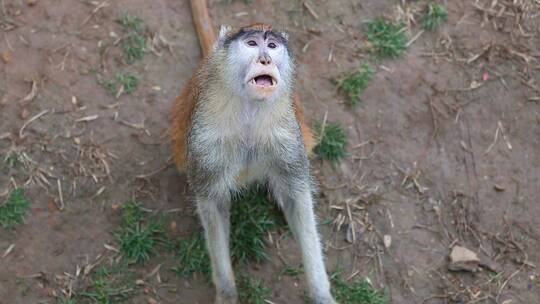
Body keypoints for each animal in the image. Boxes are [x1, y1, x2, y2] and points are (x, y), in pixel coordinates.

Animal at [170, 24, 338, 304]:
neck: (250, 110)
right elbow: (213, 204)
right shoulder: (207, 142)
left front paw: (321, 293)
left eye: (272, 46)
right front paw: (227, 292)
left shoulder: (286, 136)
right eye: (251, 43)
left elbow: (297, 198)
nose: (266, 60)